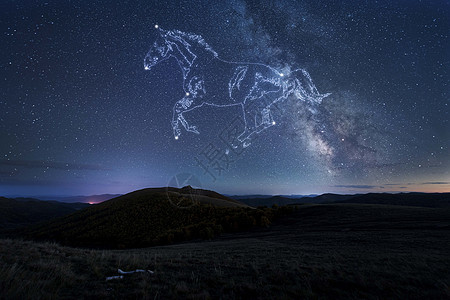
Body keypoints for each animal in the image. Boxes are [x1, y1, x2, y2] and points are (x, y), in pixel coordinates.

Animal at [145, 26, 330, 148]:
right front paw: (192, 129)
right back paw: (243, 141)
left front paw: (178, 132)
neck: (197, 63)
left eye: (157, 45)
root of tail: (284, 79)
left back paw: (239, 141)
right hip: (262, 106)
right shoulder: (193, 98)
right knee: (266, 123)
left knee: (255, 125)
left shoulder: (198, 99)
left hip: (251, 105)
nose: (145, 63)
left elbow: (176, 107)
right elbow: (178, 108)